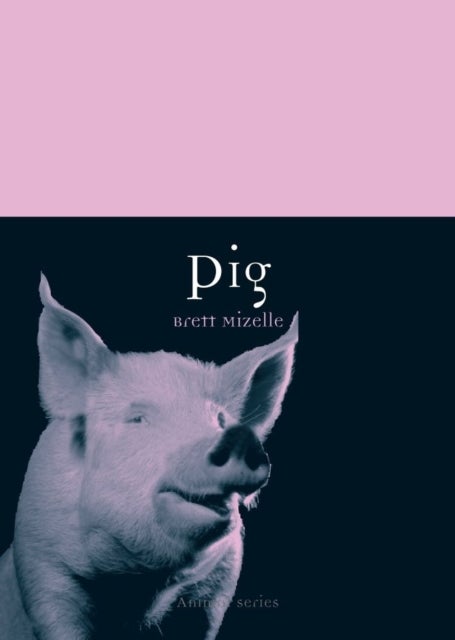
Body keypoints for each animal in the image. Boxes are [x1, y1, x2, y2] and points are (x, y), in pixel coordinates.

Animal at [0, 275, 298, 640]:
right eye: (138, 418)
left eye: (219, 420)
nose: (238, 436)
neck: (140, 592)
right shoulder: (41, 558)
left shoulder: (217, 584)